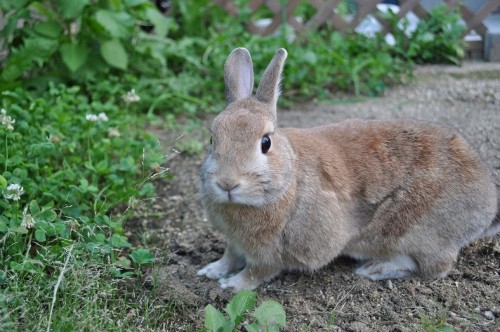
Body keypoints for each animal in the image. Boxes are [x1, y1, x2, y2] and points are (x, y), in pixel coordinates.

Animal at [197, 46, 498, 290]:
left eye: (266, 142)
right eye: (212, 139)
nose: (227, 184)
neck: (289, 178)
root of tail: (488, 205)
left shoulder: (270, 251)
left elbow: (257, 271)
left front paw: (232, 285)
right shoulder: (235, 242)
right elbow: (229, 256)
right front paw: (211, 271)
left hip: (413, 233)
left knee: (435, 267)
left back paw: (376, 269)